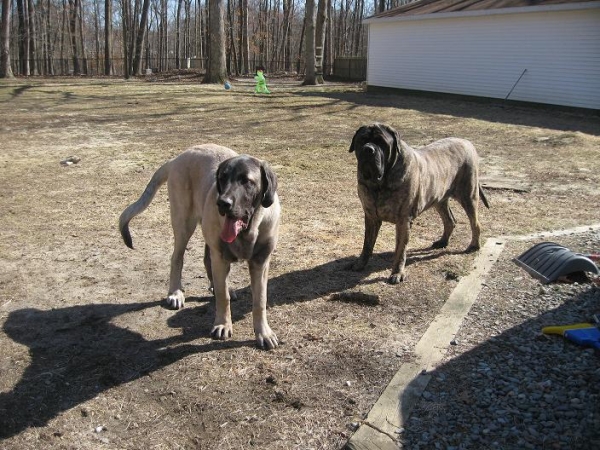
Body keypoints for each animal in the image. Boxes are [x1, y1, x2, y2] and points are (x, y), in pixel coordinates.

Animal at [121, 142, 284, 350]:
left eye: (246, 181)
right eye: (222, 178)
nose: (222, 203)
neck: (249, 230)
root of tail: (176, 158)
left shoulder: (260, 262)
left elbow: (260, 301)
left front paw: (263, 333)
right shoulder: (220, 257)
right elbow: (223, 297)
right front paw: (223, 324)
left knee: (207, 261)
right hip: (184, 223)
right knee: (177, 258)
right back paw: (175, 293)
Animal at [346, 123, 488, 284]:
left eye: (381, 142)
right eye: (362, 140)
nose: (368, 149)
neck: (379, 183)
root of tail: (467, 142)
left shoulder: (403, 221)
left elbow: (400, 250)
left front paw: (397, 273)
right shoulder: (371, 217)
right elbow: (367, 244)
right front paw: (360, 264)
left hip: (468, 195)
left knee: (475, 222)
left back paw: (474, 246)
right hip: (438, 199)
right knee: (450, 220)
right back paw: (443, 242)